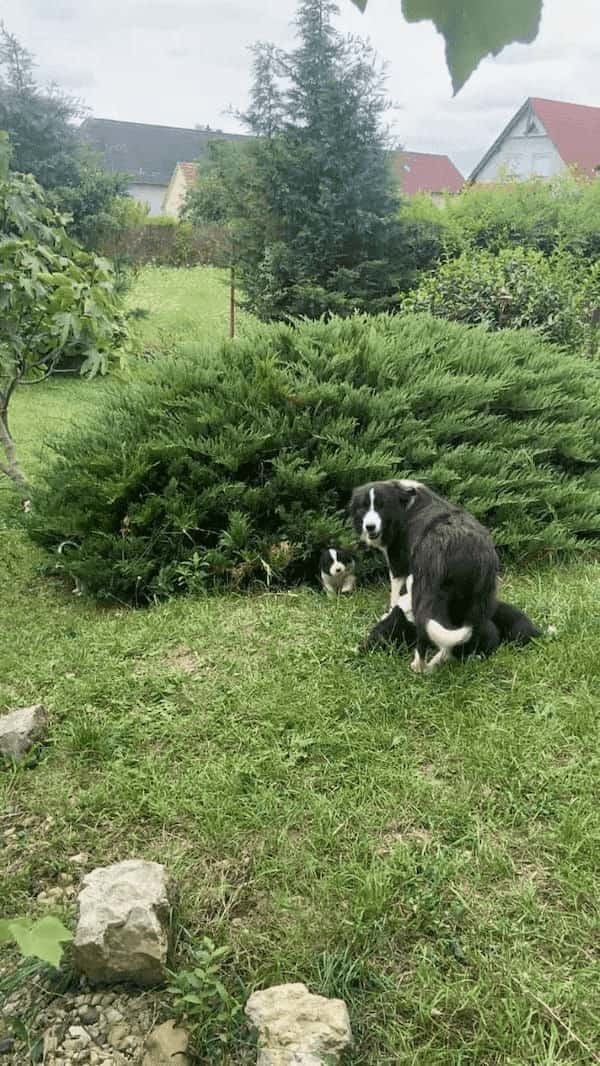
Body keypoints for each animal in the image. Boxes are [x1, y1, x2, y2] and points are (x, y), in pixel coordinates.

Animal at [349, 479, 500, 669]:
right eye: (363, 507)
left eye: (381, 506)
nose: (370, 527)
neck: (403, 503)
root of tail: (467, 549)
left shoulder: (398, 565)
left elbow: (394, 595)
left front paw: (389, 612)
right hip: (479, 602)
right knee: (464, 635)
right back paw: (440, 661)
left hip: (424, 593)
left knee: (425, 632)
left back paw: (419, 666)